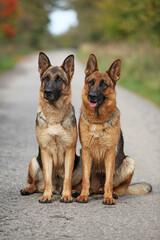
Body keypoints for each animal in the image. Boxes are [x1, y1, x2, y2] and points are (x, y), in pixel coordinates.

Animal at [20, 52, 82, 202]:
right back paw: (28, 189)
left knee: (73, 182)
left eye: (59, 79)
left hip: (80, 163)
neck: (54, 116)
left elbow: (67, 178)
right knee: (34, 184)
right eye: (46, 79)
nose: (47, 92)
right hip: (34, 161)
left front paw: (67, 195)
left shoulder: (69, 150)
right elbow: (48, 177)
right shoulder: (45, 151)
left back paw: (73, 191)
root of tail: (57, 189)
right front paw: (46, 196)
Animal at [76, 54, 151, 204]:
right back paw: (78, 190)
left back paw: (112, 193)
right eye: (90, 82)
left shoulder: (110, 153)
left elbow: (109, 180)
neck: (98, 121)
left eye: (104, 84)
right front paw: (83, 195)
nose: (92, 96)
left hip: (129, 162)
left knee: (118, 187)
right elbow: (86, 179)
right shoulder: (86, 152)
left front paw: (108, 197)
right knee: (86, 183)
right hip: (80, 159)